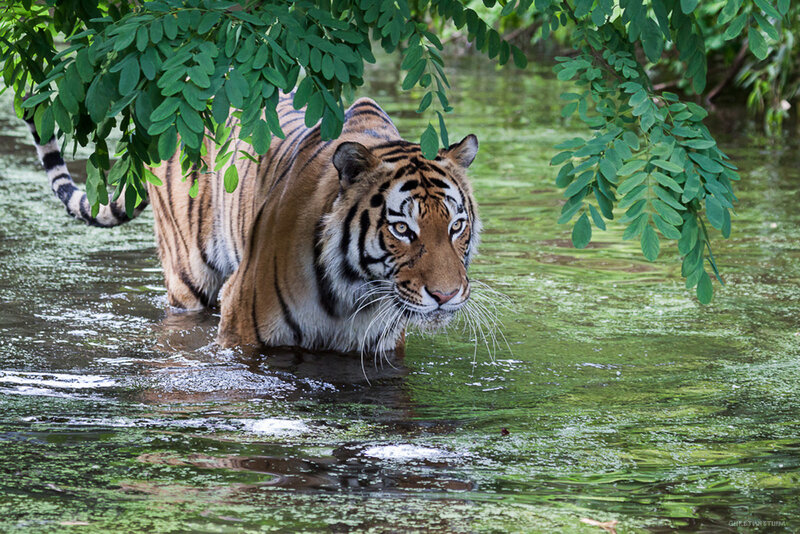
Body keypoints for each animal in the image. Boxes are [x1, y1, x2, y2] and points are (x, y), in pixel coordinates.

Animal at [26, 92, 481, 355]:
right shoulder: (242, 329)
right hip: (189, 278)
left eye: (456, 226)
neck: (354, 297)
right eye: (402, 229)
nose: (445, 296)